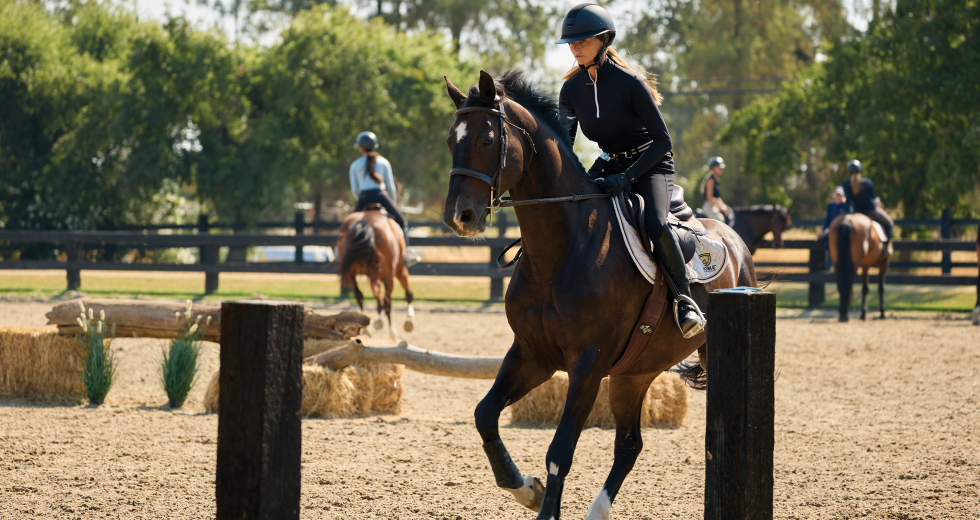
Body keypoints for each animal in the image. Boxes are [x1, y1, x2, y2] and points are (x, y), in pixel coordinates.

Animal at [441, 70, 757, 520]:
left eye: (487, 139)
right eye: (452, 140)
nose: (459, 217)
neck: (562, 249)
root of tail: (734, 238)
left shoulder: (587, 366)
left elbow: (560, 451)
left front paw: (543, 506)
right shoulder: (532, 354)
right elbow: (484, 414)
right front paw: (525, 489)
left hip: (700, 352)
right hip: (632, 375)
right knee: (629, 446)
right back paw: (597, 511)